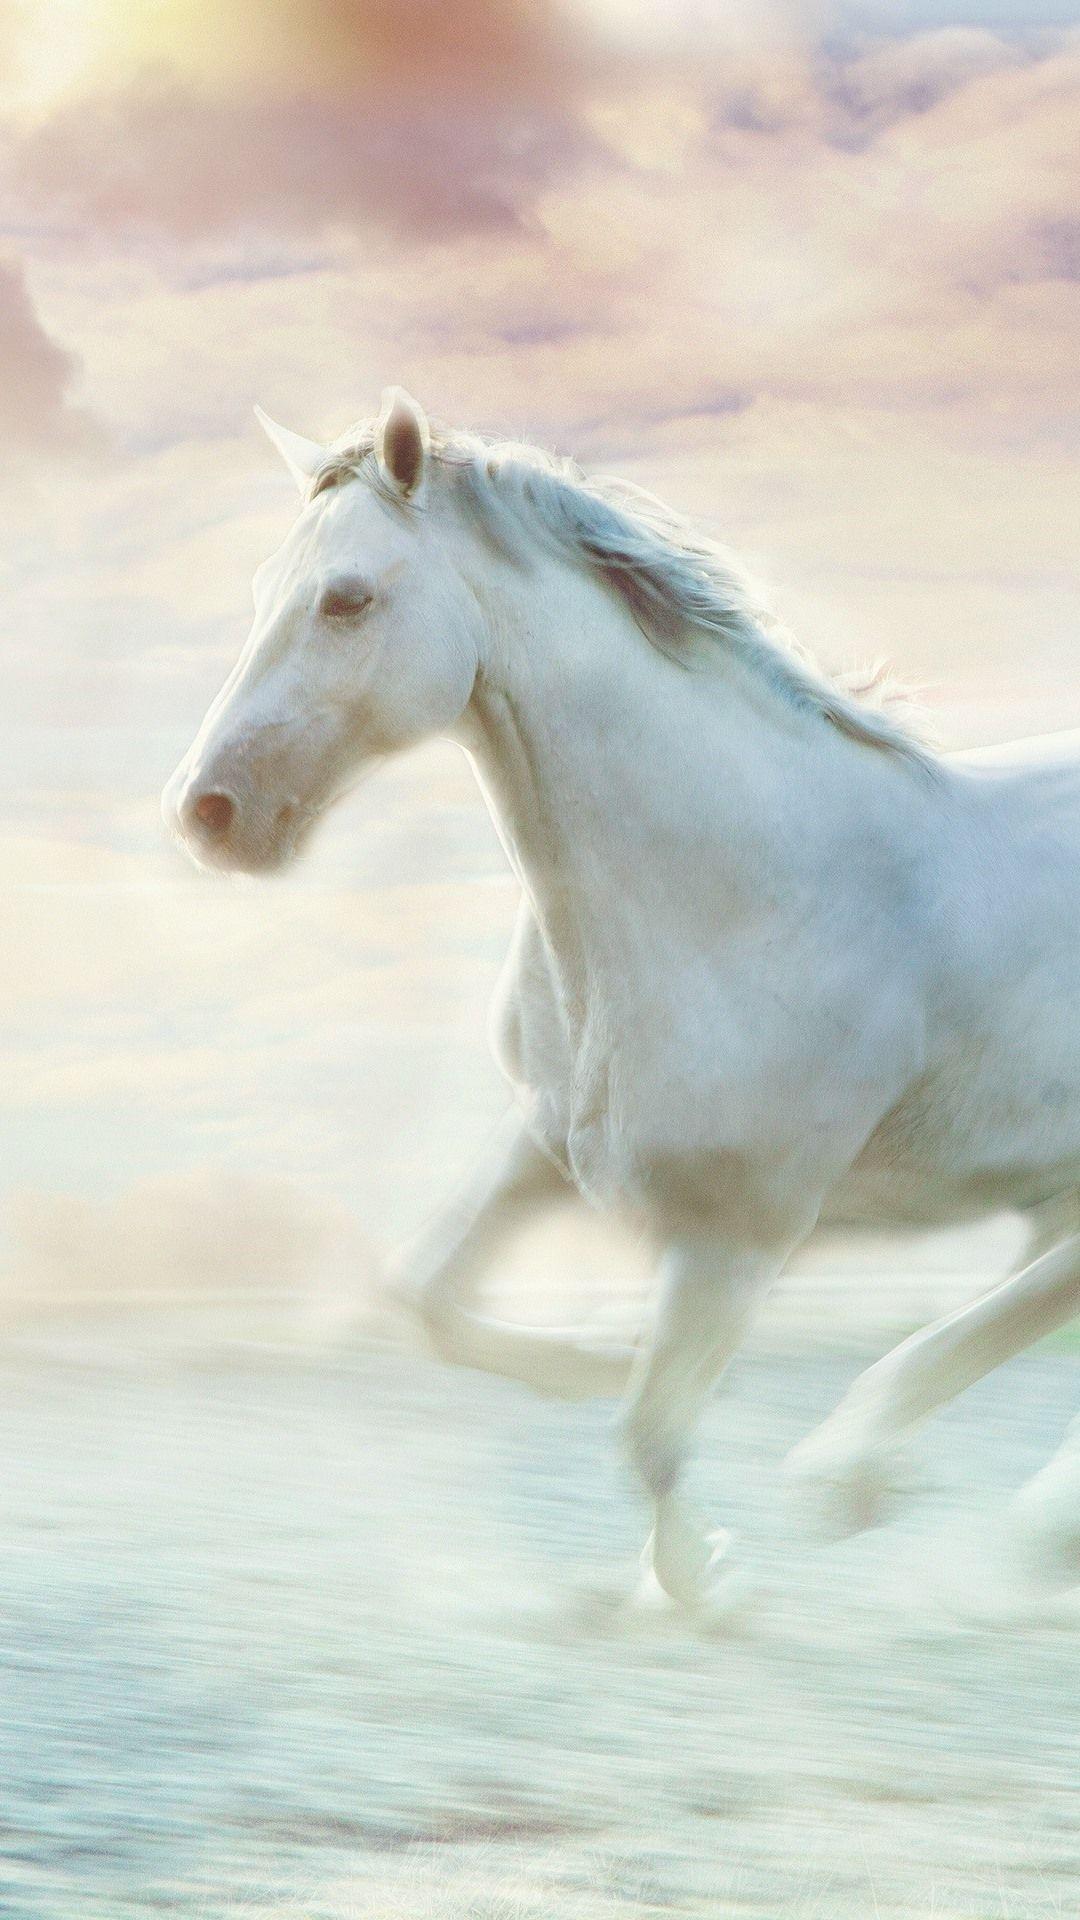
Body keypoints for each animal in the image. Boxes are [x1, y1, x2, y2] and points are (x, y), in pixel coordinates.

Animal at [163, 388, 1080, 1620]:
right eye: (266, 586)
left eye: (346, 597)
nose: (207, 813)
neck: (737, 888)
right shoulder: (547, 1143)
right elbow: (425, 1298)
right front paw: (598, 1359)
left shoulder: (737, 1231)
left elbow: (647, 1432)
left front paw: (707, 1580)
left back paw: (876, 1480)